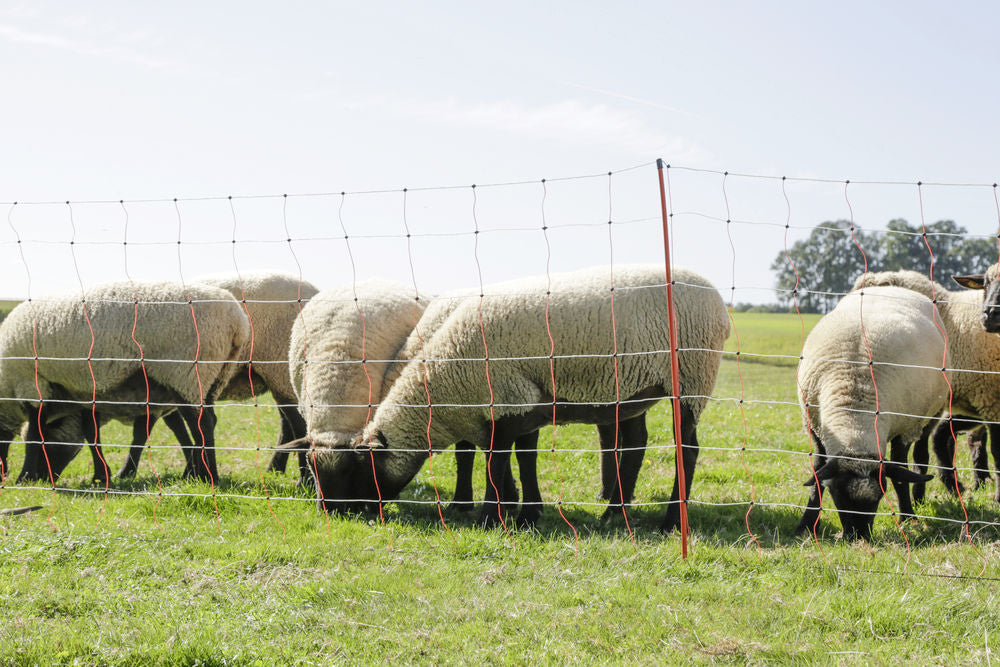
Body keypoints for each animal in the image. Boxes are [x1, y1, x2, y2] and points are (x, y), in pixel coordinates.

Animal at [0, 280, 250, 483]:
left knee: (203, 423)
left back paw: (209, 476)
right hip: (212, 376)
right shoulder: (85, 394)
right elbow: (92, 434)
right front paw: (101, 476)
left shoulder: (31, 383)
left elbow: (35, 434)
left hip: (185, 372)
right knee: (209, 420)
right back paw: (200, 473)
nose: (43, 478)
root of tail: (237, 322)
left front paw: (24, 477)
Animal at [310, 264, 730, 532]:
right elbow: (523, 459)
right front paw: (525, 512)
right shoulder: (523, 405)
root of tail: (721, 305)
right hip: (635, 388)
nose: (337, 513)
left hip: (692, 375)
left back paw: (671, 521)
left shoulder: (505, 400)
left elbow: (496, 463)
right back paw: (615, 512)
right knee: (636, 445)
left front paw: (490, 516)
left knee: (687, 448)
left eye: (357, 470)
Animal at [795, 286, 944, 540]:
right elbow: (817, 473)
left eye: (879, 496)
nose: (859, 537)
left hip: (931, 413)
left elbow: (900, 475)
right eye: (837, 493)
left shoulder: (904, 428)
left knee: (921, 452)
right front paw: (806, 524)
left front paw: (908, 518)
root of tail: (891, 286)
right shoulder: (815, 428)